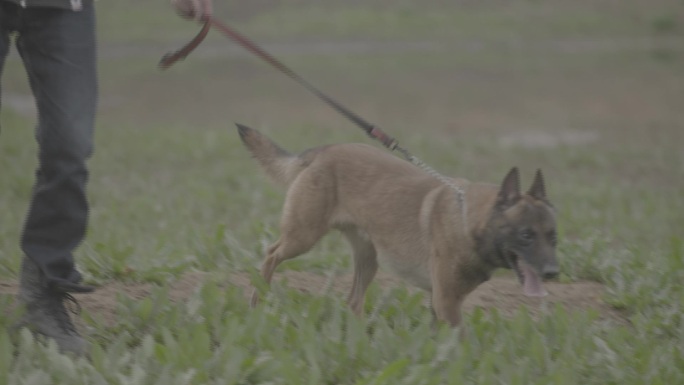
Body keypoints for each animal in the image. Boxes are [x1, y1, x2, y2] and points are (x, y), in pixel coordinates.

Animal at [238, 124, 560, 328]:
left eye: (553, 237)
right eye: (526, 235)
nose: (553, 273)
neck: (468, 219)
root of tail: (323, 150)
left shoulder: (441, 302)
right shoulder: (447, 302)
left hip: (368, 259)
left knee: (353, 300)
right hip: (302, 236)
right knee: (272, 253)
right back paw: (256, 298)